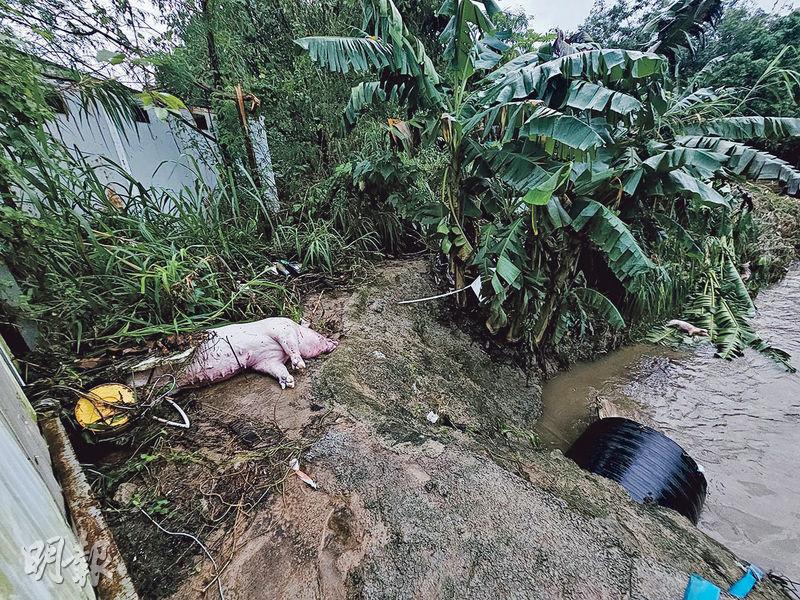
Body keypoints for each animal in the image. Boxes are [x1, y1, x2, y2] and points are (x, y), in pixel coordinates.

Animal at [178, 318, 338, 390]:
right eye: (320, 335)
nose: (335, 342)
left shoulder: (266, 361)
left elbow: (277, 368)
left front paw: (289, 383)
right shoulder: (282, 327)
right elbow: (290, 346)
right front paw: (299, 366)